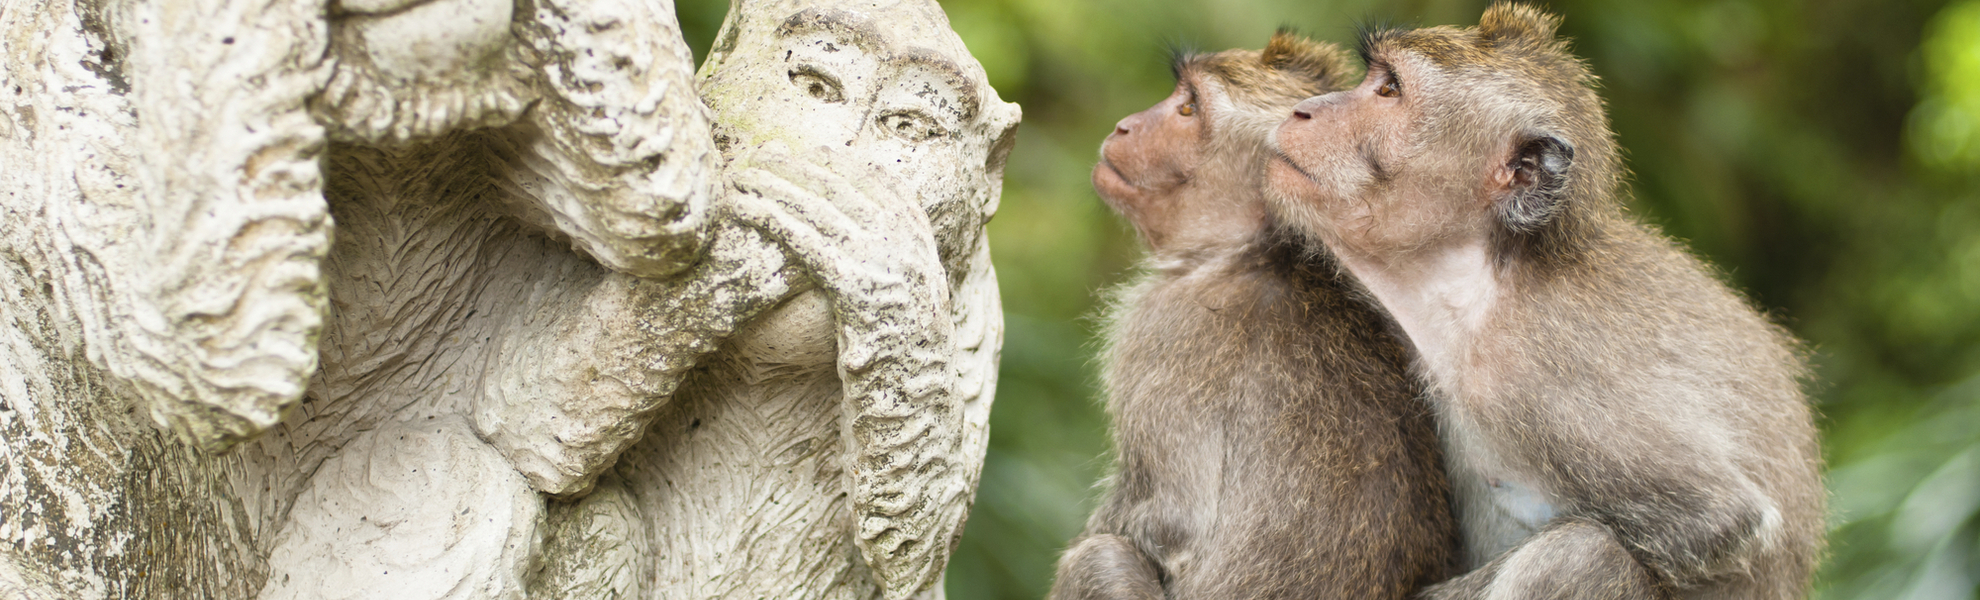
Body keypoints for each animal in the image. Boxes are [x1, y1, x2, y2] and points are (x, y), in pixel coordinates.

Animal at [1049, 31, 1459, 600]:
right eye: (1179, 96)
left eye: (1188, 108)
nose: (1125, 125)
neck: (1252, 252)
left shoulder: (1160, 330)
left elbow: (1169, 520)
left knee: (1099, 558)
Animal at [1265, 4, 1826, 599]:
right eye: (1372, 78)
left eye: (1389, 88)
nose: (1303, 110)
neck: (1484, 281)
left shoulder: (1540, 374)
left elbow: (1720, 519)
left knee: (1583, 554)